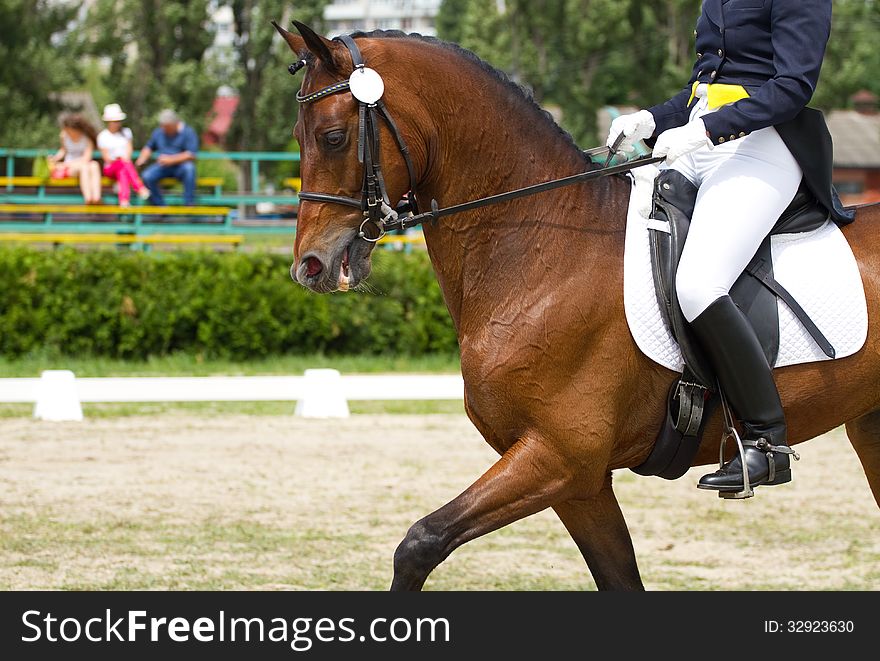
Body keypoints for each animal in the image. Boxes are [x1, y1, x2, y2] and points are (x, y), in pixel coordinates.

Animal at [276, 20, 880, 592]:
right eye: (300, 135)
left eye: (333, 137)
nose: (310, 267)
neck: (546, 251)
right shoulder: (580, 485)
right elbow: (619, 579)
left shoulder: (559, 457)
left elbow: (420, 542)